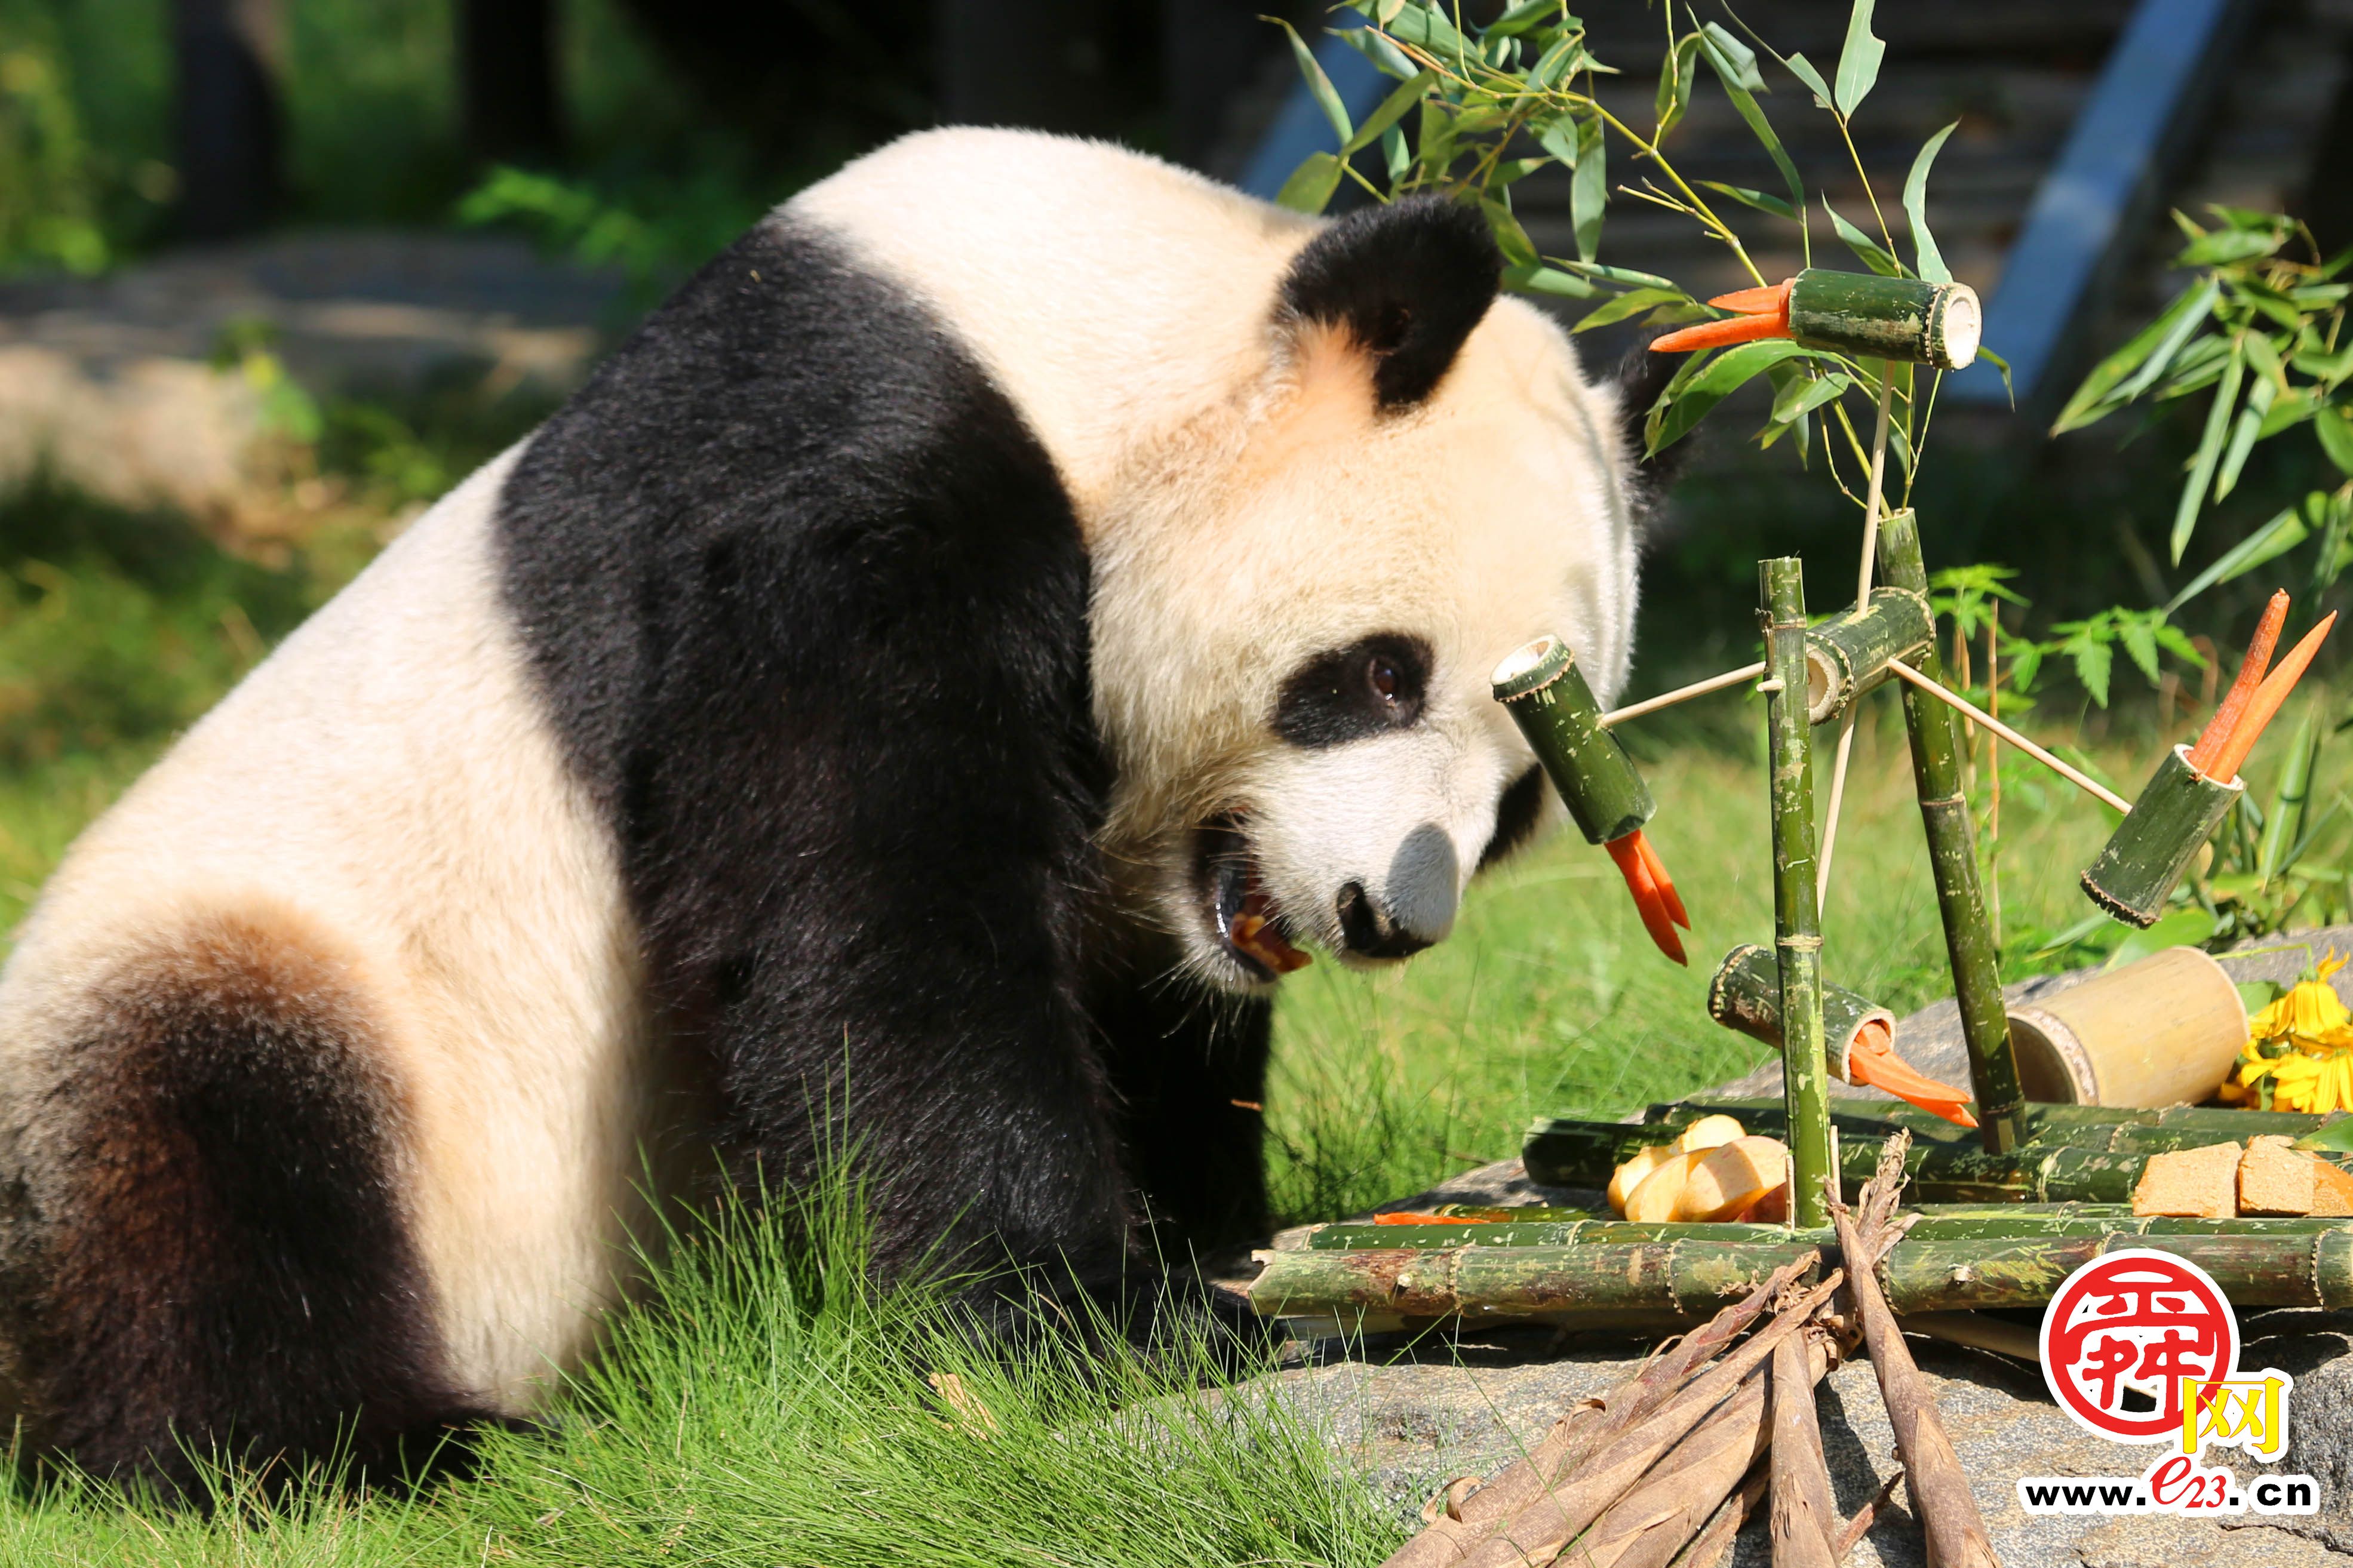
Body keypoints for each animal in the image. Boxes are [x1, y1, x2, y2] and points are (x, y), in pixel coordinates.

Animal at [0, 128, 1647, 1487]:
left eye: (1518, 793)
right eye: (1376, 674)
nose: (1387, 919)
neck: (1106, 345)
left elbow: (1135, 1014)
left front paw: (1213, 1246)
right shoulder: (841, 490)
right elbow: (876, 924)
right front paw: (1091, 1323)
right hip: (252, 961)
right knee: (212, 1165)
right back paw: (383, 1445)